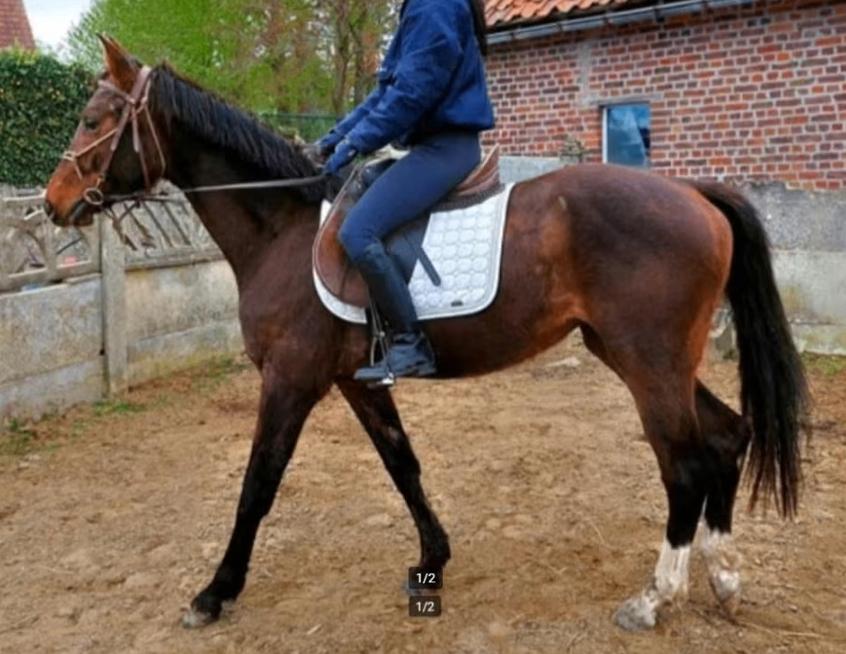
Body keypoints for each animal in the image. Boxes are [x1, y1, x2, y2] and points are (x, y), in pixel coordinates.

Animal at [44, 37, 808, 631]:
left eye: (92, 119)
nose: (53, 205)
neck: (283, 229)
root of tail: (694, 193)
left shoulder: (290, 379)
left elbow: (259, 481)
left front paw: (215, 591)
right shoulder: (356, 381)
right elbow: (401, 463)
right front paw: (433, 558)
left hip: (646, 361)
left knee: (684, 464)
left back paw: (654, 599)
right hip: (654, 359)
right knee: (727, 437)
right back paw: (725, 578)